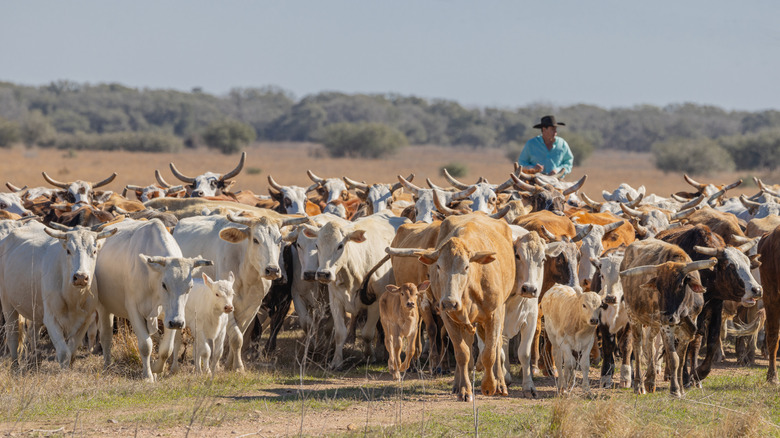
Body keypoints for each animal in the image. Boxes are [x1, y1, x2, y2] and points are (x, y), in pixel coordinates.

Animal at [0, 221, 117, 368]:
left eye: (94, 251)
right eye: (68, 251)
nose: (80, 277)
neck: (73, 299)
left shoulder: (85, 320)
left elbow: (72, 350)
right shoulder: (51, 319)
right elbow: (64, 353)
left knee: (33, 331)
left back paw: (34, 358)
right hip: (7, 303)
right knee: (13, 335)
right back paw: (15, 366)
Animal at [95, 218, 212, 381]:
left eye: (190, 286)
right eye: (164, 284)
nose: (177, 323)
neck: (152, 279)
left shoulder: (169, 316)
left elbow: (166, 349)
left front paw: (157, 369)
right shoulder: (134, 310)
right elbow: (145, 345)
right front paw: (148, 375)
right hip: (104, 307)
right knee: (106, 336)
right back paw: (107, 365)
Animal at [620, 238, 716, 396]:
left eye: (680, 285)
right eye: (658, 287)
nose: (667, 317)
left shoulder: (688, 328)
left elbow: (682, 359)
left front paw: (682, 389)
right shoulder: (666, 327)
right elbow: (673, 358)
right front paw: (675, 390)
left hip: (654, 323)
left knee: (650, 343)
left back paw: (650, 380)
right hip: (633, 317)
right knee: (638, 347)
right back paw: (639, 385)